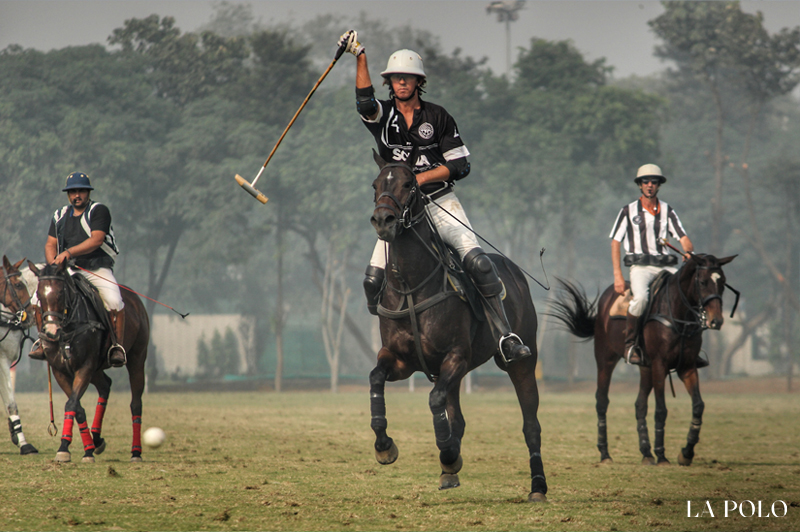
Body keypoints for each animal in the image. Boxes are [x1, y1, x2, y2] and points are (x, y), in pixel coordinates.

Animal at [28, 260, 150, 462]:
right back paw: (97, 439)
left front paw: (65, 447)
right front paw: (86, 449)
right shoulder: (60, 371)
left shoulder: (84, 367)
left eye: (60, 292)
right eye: (39, 294)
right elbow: (77, 406)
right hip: (97, 368)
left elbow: (71, 403)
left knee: (136, 403)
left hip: (137, 358)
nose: (51, 332)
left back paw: (136, 452)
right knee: (106, 385)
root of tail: (135, 299)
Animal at [366, 153, 548, 502]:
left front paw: (449, 457)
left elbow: (435, 401)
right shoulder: (400, 360)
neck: (410, 285)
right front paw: (384, 446)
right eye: (375, 184)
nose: (383, 220)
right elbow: (376, 379)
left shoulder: (455, 357)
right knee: (458, 417)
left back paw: (538, 487)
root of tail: (513, 269)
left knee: (531, 424)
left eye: (409, 183)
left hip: (522, 360)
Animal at [552, 254, 736, 466]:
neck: (677, 313)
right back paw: (605, 454)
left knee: (639, 404)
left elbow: (698, 406)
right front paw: (662, 455)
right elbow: (661, 409)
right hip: (606, 359)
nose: (716, 321)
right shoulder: (659, 365)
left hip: (645, 367)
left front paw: (686, 453)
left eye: (722, 282)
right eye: (703, 281)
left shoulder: (687, 366)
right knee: (602, 401)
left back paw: (646, 453)